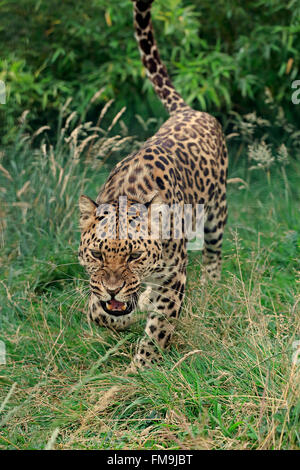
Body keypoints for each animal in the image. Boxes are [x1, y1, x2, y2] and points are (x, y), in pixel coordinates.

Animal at [78, 0, 229, 368]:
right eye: (96, 254)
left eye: (133, 256)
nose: (113, 289)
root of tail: (189, 111)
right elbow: (98, 312)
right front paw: (115, 313)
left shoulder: (174, 277)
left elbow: (159, 327)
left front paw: (141, 369)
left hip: (217, 214)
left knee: (214, 253)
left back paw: (212, 286)